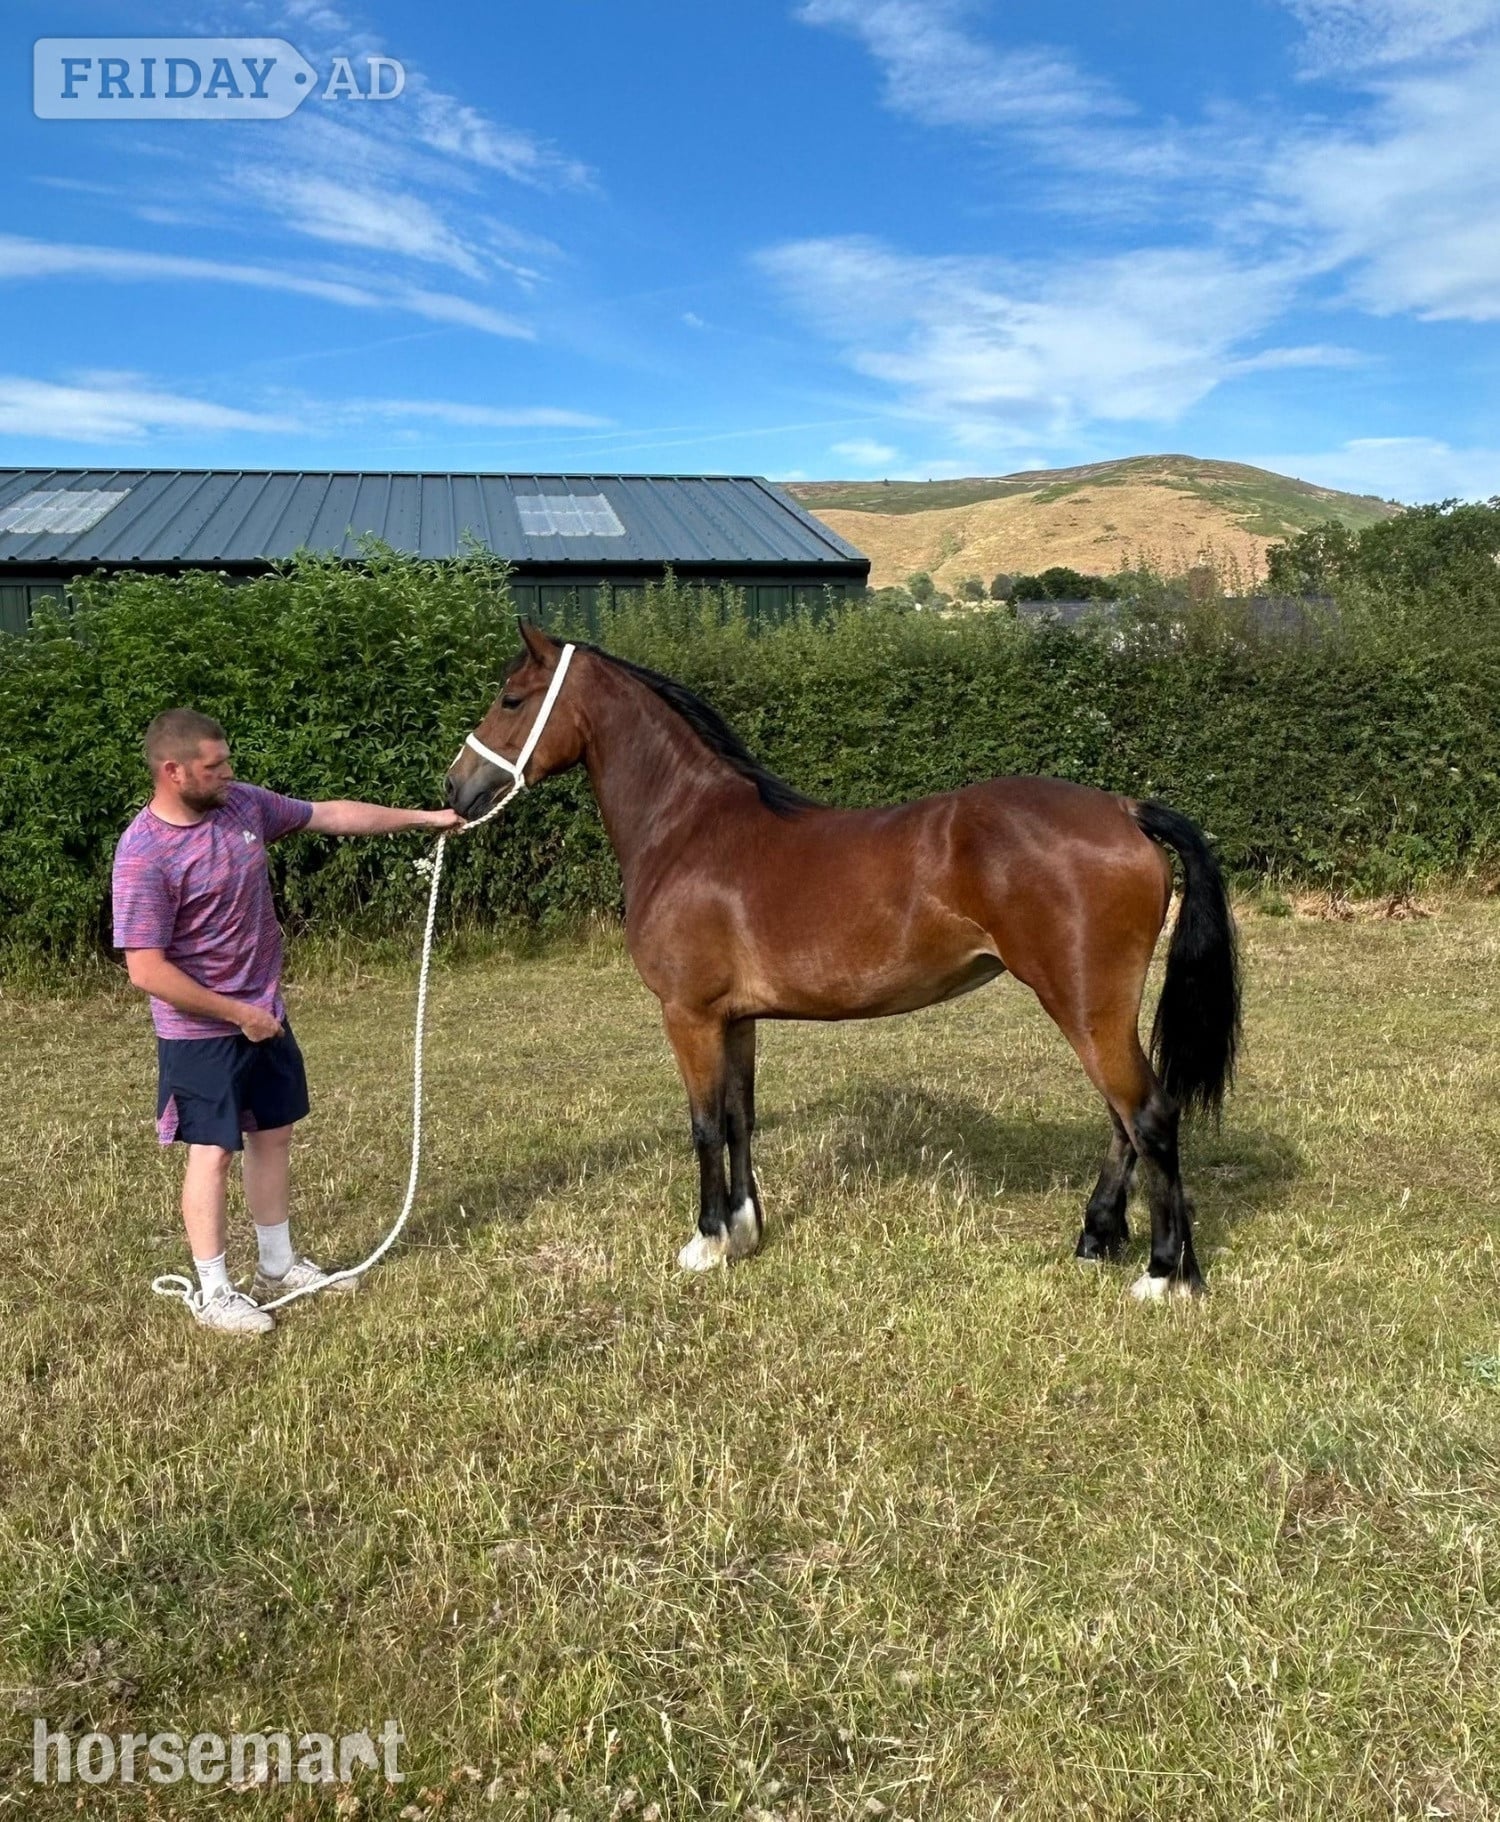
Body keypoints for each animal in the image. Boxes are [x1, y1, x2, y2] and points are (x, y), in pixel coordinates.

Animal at [446, 622, 1241, 1299]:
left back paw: (1164, 1274)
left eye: (510, 698)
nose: (456, 788)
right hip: (1096, 1010)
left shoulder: (689, 1016)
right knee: (1122, 1120)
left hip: (1084, 1006)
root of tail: (1122, 808)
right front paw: (745, 1231)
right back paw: (1100, 1240)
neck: (688, 829)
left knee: (1149, 1116)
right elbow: (740, 1118)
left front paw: (706, 1243)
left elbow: (703, 1125)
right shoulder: (736, 1019)